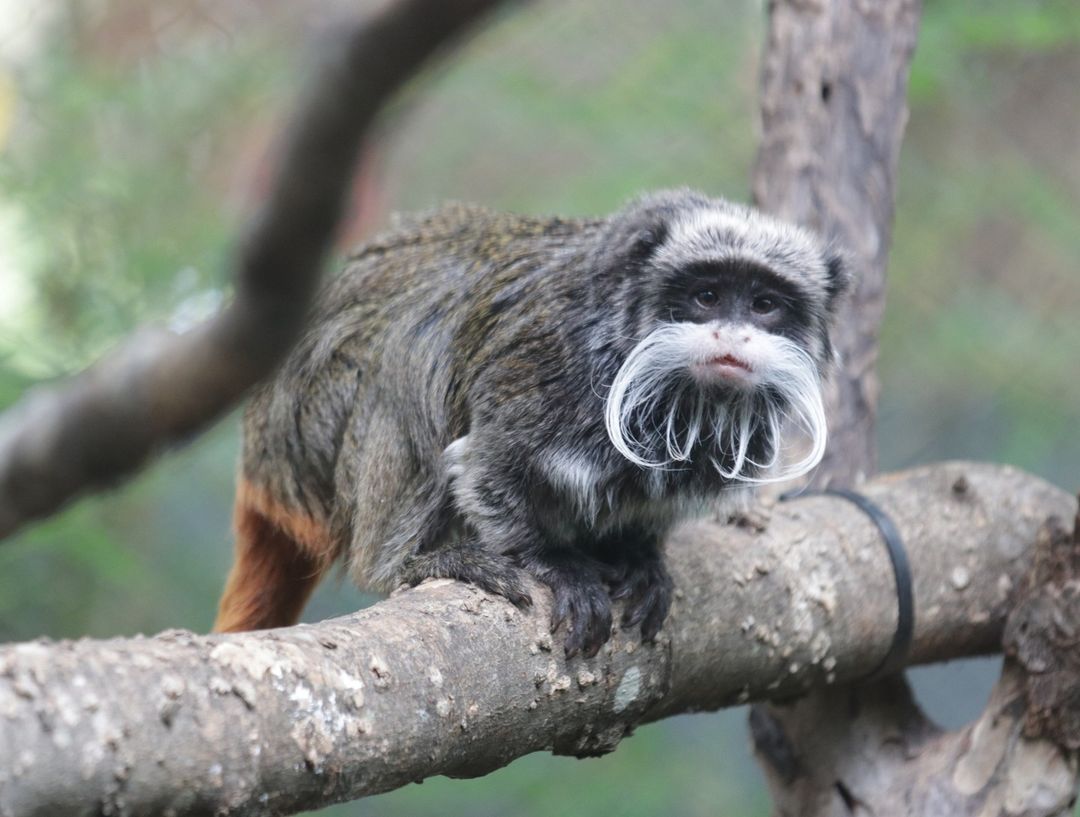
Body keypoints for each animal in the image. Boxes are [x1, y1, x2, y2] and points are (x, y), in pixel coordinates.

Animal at [213, 188, 849, 658]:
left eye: (765, 305)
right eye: (707, 295)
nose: (733, 336)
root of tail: (259, 459)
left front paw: (640, 556)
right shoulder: (546, 365)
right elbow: (486, 468)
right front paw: (556, 564)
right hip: (309, 431)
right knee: (409, 354)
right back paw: (409, 562)